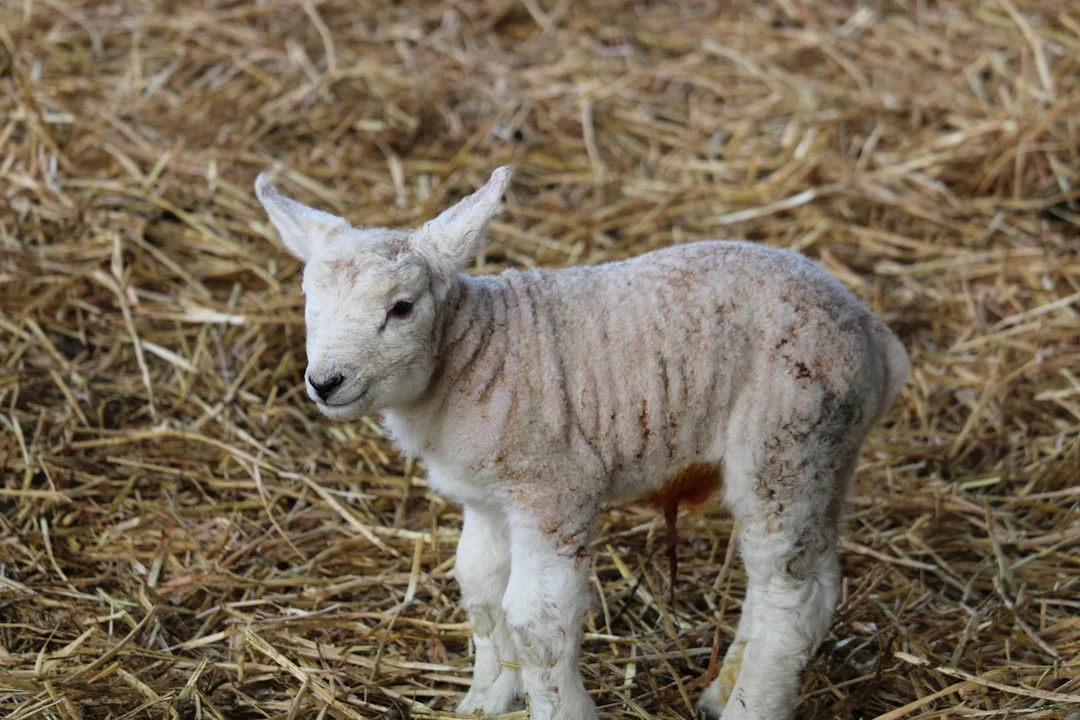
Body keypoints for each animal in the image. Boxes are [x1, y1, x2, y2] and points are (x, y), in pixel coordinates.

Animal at [255, 166, 910, 720]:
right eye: (310, 303)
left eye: (401, 307)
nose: (325, 381)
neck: (474, 355)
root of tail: (876, 336)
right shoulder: (488, 497)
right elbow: (481, 589)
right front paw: (487, 697)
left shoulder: (553, 488)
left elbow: (537, 620)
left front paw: (556, 707)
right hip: (825, 457)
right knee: (788, 579)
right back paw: (724, 689)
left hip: (787, 438)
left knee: (793, 596)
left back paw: (752, 706)